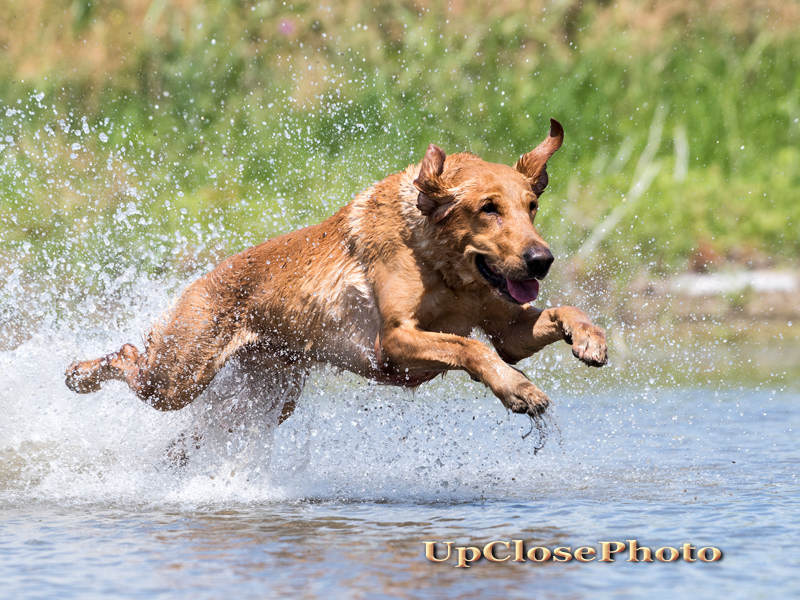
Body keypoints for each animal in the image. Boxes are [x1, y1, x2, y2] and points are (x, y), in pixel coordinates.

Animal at [67, 119, 608, 426]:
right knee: (129, 355)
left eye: (531, 206)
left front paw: (589, 339)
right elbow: (470, 348)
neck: (444, 265)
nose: (541, 260)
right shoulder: (393, 341)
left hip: (269, 396)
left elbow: (559, 311)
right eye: (487, 209)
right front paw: (518, 389)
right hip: (178, 377)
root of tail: (202, 278)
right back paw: (81, 375)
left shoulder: (507, 331)